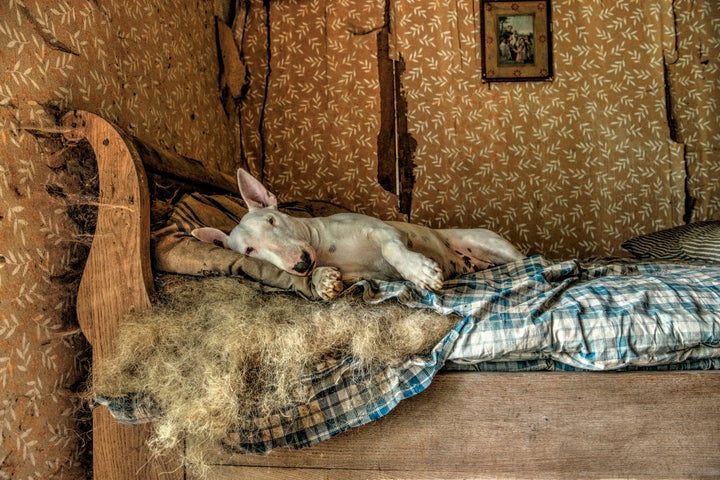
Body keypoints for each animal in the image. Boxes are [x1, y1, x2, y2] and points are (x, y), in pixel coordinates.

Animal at [193, 167, 524, 298]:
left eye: (272, 220)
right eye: (250, 250)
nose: (300, 263)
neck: (322, 246)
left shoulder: (381, 230)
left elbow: (393, 249)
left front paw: (420, 272)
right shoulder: (361, 277)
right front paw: (323, 281)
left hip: (485, 242)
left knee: (527, 259)